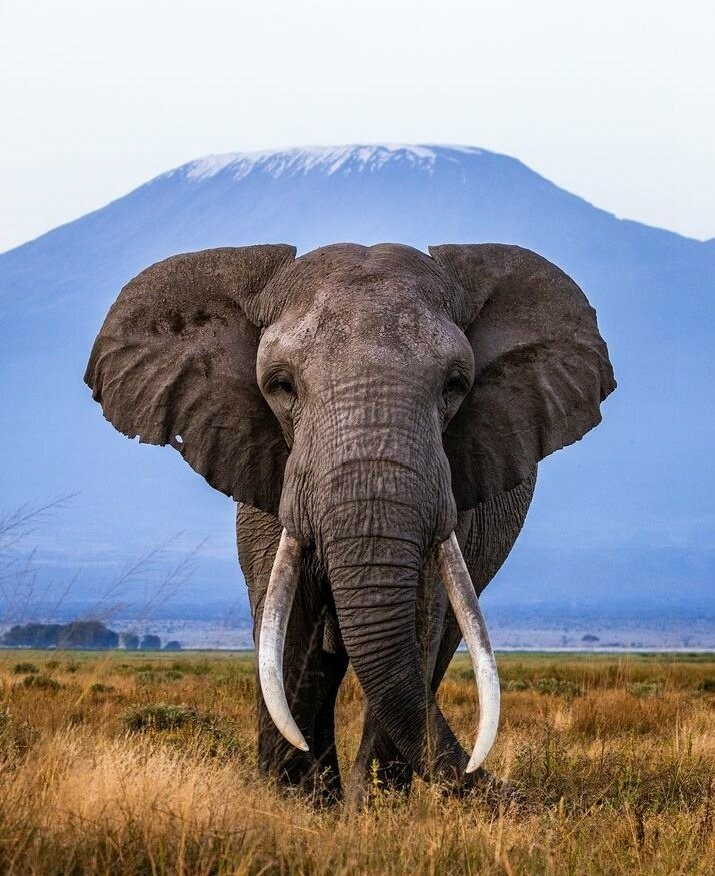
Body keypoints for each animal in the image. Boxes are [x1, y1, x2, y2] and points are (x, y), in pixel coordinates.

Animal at [85, 240, 616, 808]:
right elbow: (287, 633)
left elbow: (417, 625)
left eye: (455, 385)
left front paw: (369, 812)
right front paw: (296, 805)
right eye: (281, 385)